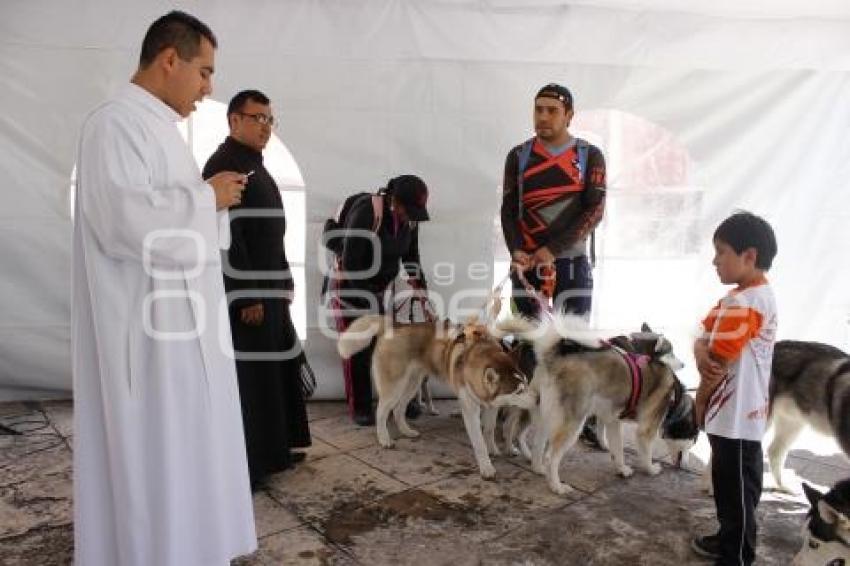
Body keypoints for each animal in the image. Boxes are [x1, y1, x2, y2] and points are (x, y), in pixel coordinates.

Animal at [336, 316, 528, 480]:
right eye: (517, 391)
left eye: (526, 384)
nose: (533, 400)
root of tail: (395, 325)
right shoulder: (470, 410)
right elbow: (479, 441)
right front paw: (486, 467)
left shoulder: (492, 405)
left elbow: (488, 430)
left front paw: (493, 449)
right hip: (394, 387)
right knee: (381, 412)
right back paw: (384, 439)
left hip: (413, 384)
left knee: (398, 409)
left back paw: (406, 431)